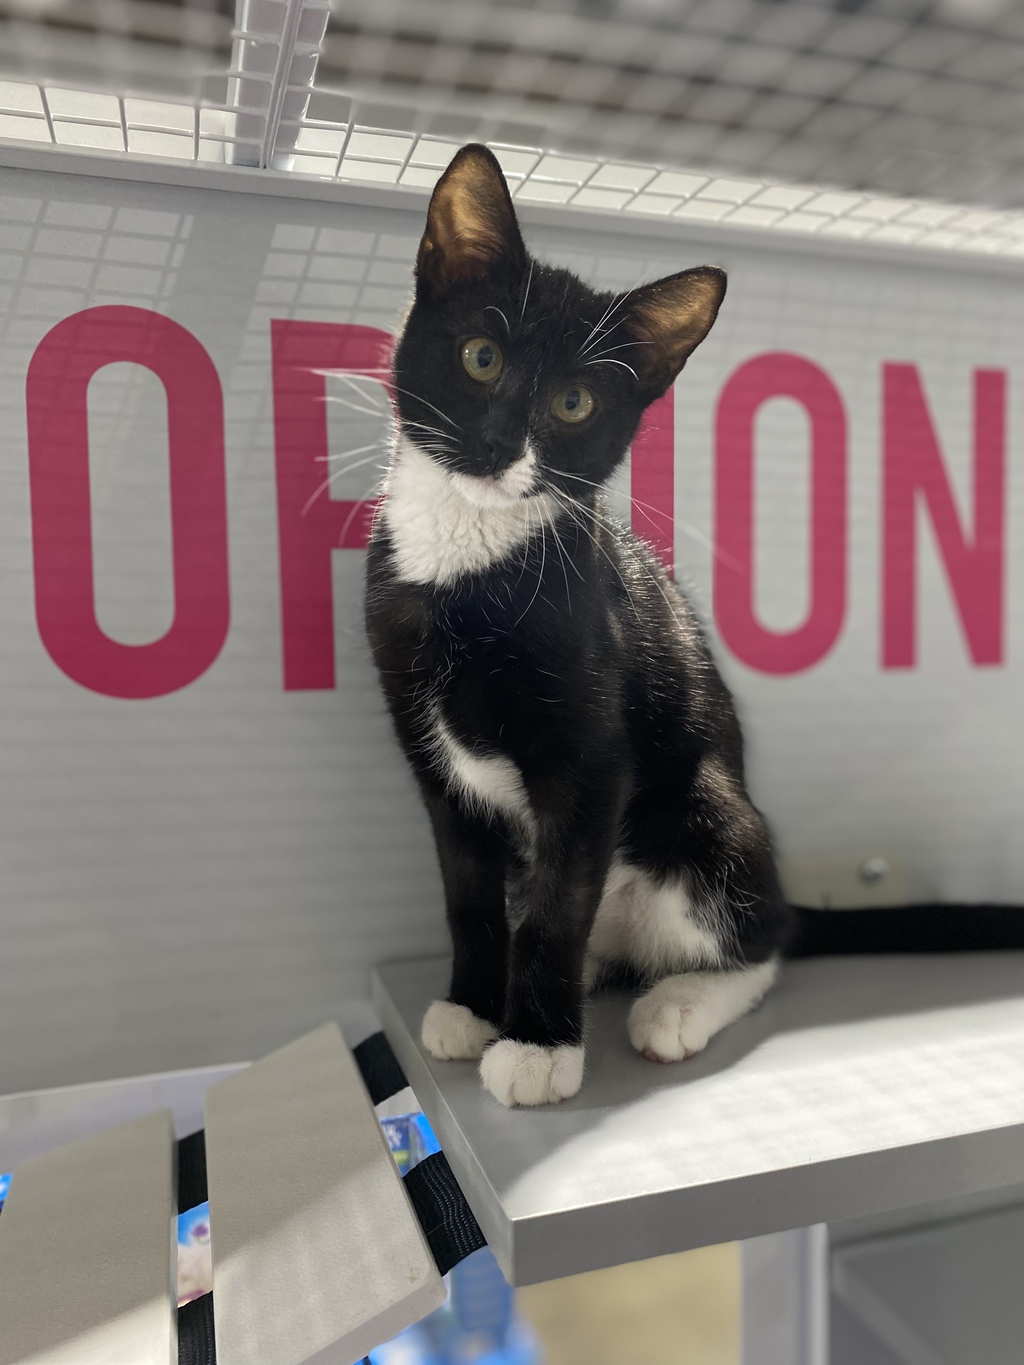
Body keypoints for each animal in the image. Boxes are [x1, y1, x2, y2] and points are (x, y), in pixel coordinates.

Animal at [364, 143, 1024, 1108]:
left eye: (574, 404)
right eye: (480, 356)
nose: (496, 447)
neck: (467, 567)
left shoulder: (593, 759)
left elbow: (557, 907)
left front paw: (537, 1047)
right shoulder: (430, 756)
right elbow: (469, 893)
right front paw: (477, 1004)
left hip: (707, 813)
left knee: (763, 937)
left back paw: (673, 1001)